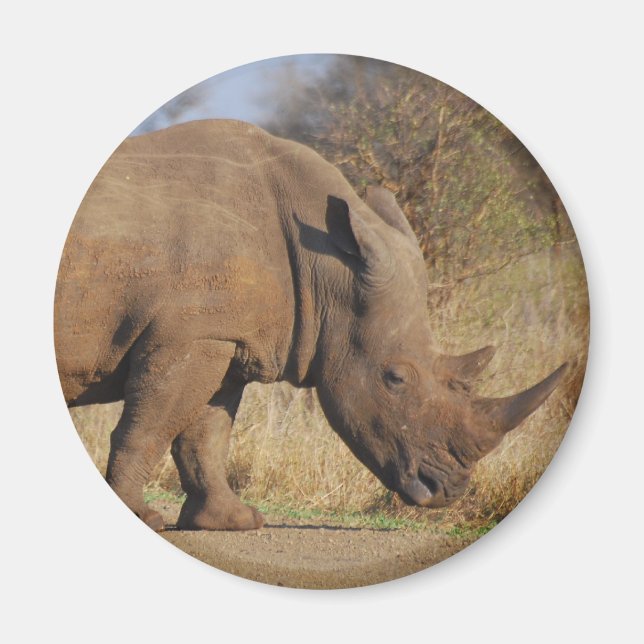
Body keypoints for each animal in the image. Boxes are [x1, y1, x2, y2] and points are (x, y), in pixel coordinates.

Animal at [55, 119, 566, 531]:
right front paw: (140, 517)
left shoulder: (223, 335)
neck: (328, 268)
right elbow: (149, 427)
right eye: (394, 378)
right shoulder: (192, 335)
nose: (446, 491)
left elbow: (206, 435)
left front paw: (232, 522)